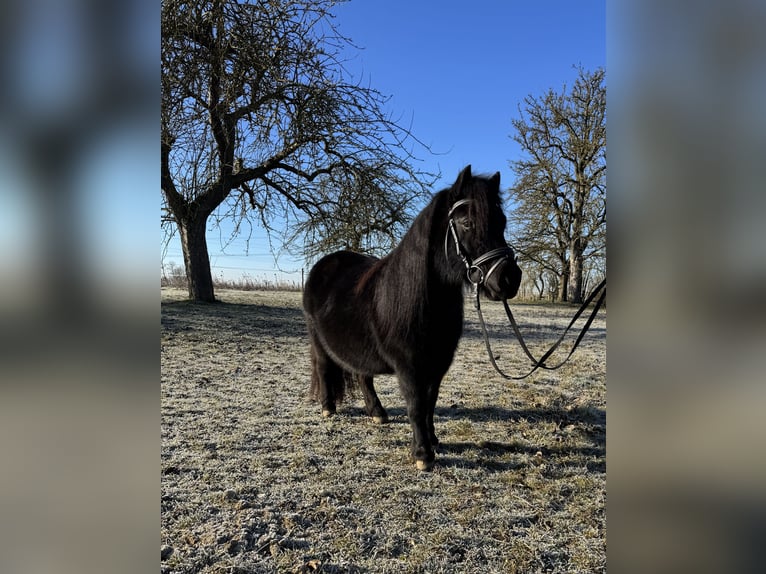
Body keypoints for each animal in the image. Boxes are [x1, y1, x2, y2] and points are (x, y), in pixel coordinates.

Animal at [300, 166, 520, 472]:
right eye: (467, 223)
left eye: (502, 222)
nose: (509, 279)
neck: (422, 301)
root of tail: (324, 264)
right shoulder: (409, 365)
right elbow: (416, 404)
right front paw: (422, 455)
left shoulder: (438, 363)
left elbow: (430, 402)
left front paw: (434, 441)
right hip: (317, 340)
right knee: (323, 368)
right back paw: (327, 408)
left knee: (362, 375)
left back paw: (377, 413)